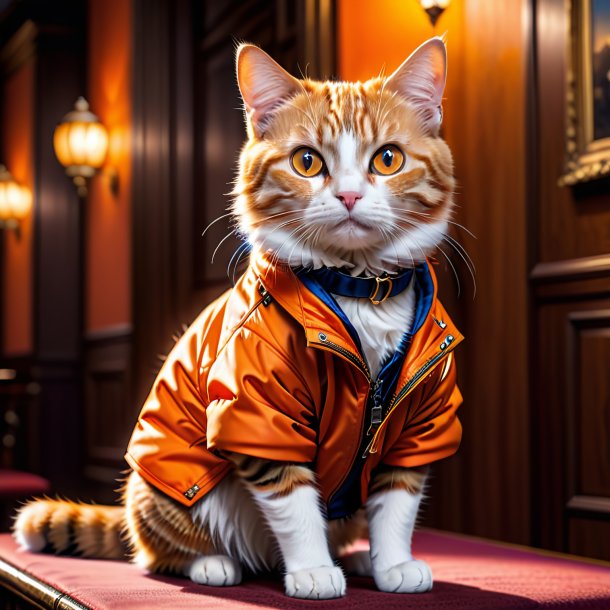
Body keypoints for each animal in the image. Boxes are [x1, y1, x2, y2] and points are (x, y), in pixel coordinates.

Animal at [13, 35, 460, 596]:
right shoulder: (257, 413)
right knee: (158, 551)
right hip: (163, 494)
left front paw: (392, 563)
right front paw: (313, 569)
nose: (350, 195)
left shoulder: (418, 419)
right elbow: (295, 503)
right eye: (307, 161)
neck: (357, 291)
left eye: (388, 159)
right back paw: (213, 563)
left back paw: (355, 558)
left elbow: (397, 501)